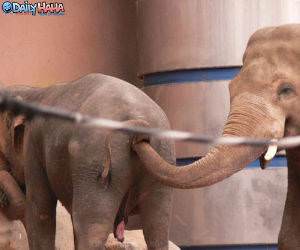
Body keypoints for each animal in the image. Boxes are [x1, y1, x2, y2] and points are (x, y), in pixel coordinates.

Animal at [0, 74, 175, 250]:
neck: (32, 92)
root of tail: (138, 123)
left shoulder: (33, 145)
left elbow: (40, 211)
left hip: (94, 159)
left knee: (91, 228)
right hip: (161, 161)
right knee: (157, 227)